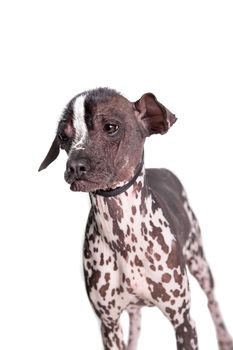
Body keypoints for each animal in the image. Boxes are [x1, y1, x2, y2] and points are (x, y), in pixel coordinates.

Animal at [39, 88, 232, 350]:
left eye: (110, 127)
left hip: (199, 262)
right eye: (63, 136)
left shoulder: (183, 321)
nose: (75, 167)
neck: (122, 232)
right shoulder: (109, 325)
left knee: (213, 302)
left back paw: (224, 338)